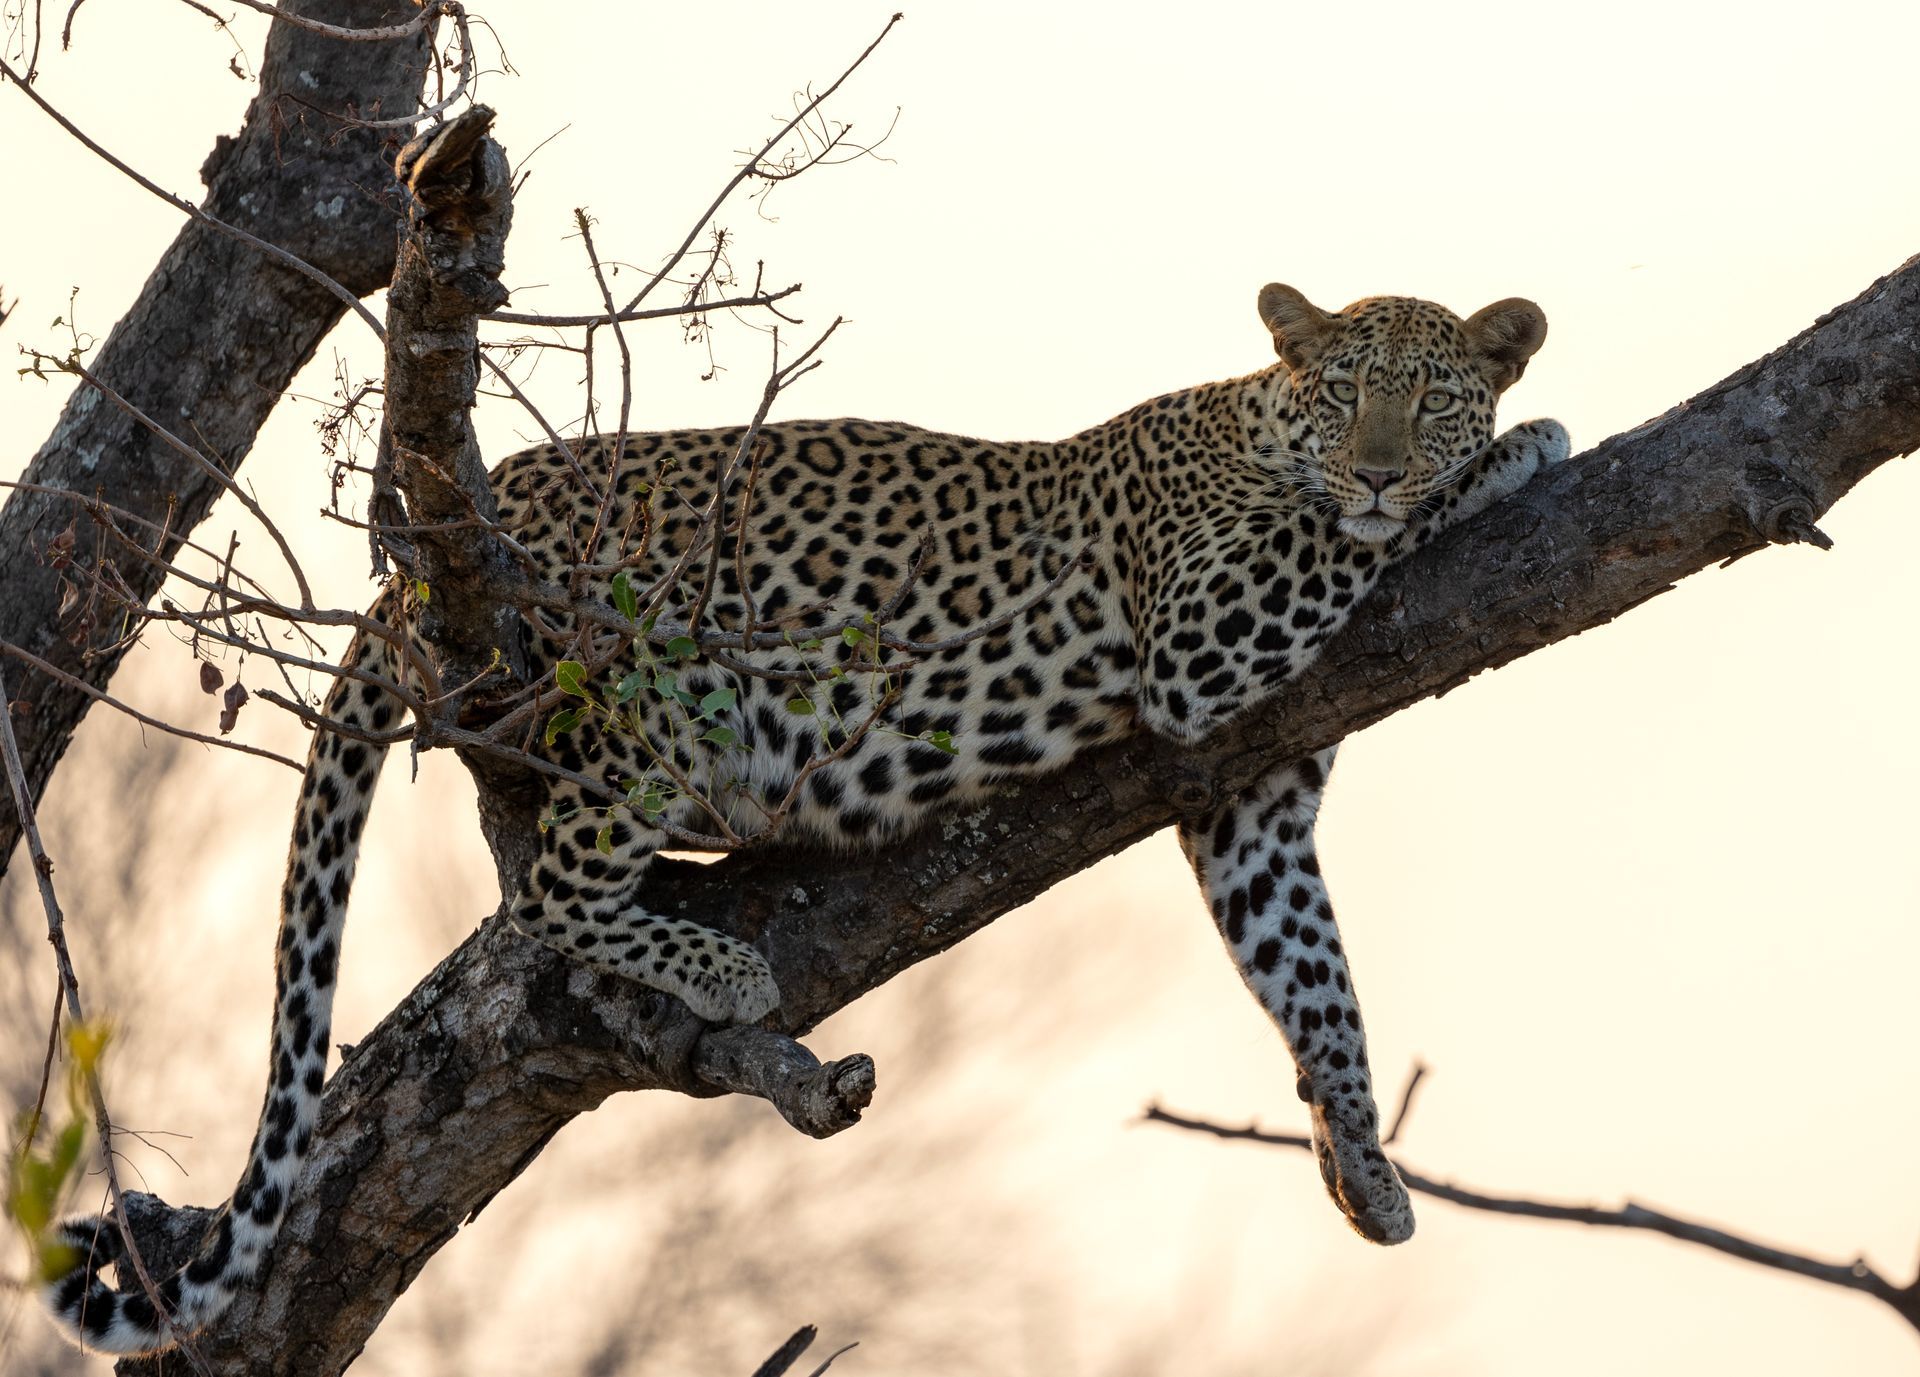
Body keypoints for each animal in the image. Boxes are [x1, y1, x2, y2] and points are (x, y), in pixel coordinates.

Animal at [42, 283, 1568, 1354]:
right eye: (1348, 396)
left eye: (1432, 398)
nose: (1382, 467)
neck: (1256, 423)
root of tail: (418, 566)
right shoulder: (1202, 637)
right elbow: (1336, 549)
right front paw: (1519, 455)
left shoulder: (1253, 802)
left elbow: (1314, 979)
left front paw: (1361, 1162)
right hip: (659, 690)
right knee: (547, 888)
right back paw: (722, 964)